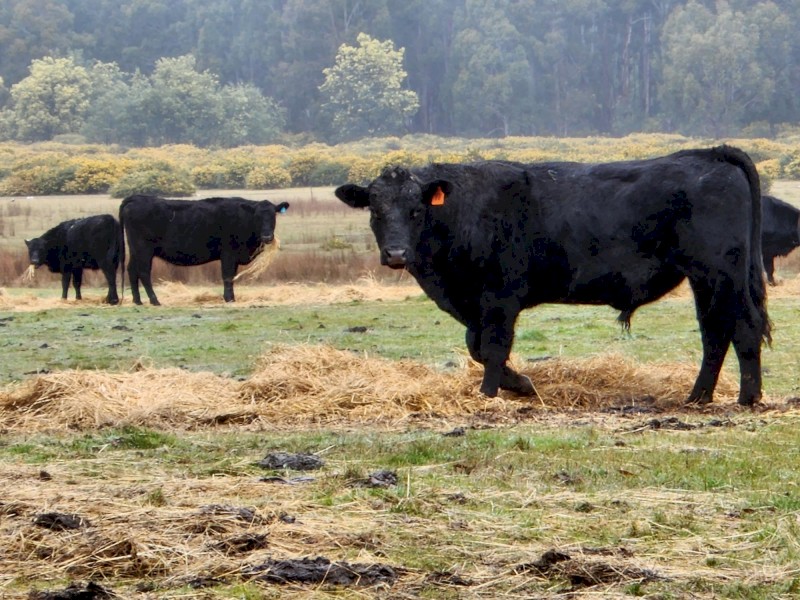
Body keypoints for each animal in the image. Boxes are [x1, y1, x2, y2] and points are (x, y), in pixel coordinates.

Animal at [119, 195, 289, 305]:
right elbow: (227, 276)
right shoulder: (228, 253)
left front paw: (231, 297)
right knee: (143, 272)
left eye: (273, 216)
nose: (267, 236)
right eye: (257, 217)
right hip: (143, 249)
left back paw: (137, 301)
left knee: (132, 270)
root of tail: (137, 198)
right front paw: (229, 299)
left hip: (135, 250)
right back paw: (154, 300)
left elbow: (231, 277)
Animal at [335, 146, 770, 406]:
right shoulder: (474, 304)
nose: (396, 254)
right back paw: (701, 397)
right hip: (708, 279)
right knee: (718, 332)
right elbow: (476, 346)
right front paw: (520, 384)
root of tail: (709, 154)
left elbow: (492, 347)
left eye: (416, 210)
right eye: (375, 210)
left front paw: (489, 393)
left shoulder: (499, 296)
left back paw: (742, 399)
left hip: (721, 273)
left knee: (739, 328)